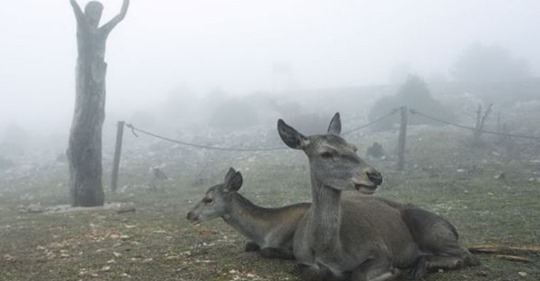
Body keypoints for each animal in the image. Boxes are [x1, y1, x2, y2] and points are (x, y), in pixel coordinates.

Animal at [278, 112, 476, 280]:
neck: (329, 252)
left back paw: (418, 268)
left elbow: (358, 274)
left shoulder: (380, 250)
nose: (375, 175)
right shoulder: (302, 259)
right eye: (325, 153)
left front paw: (395, 272)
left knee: (468, 254)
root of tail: (452, 228)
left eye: (354, 148)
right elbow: (313, 272)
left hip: (432, 231)